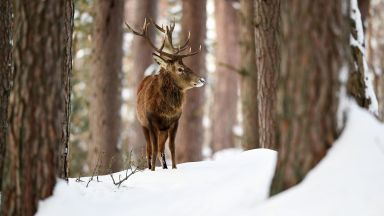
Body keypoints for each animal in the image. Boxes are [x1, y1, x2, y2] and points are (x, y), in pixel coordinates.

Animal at [126, 18, 206, 170]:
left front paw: (174, 168)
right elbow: (153, 148)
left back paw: (165, 167)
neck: (165, 110)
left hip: (163, 130)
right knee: (150, 149)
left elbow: (171, 147)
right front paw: (152, 170)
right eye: (180, 69)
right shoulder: (150, 121)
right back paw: (151, 167)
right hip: (142, 124)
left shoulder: (175, 121)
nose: (202, 79)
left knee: (161, 149)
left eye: (186, 65)